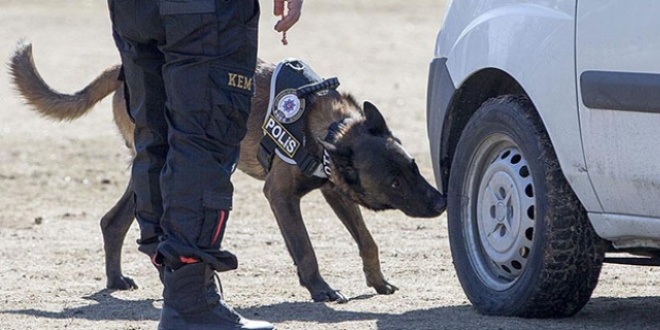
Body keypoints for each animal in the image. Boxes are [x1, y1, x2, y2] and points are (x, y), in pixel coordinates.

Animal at [9, 43, 444, 304]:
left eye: (413, 166)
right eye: (393, 183)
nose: (441, 202)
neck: (330, 127)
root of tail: (121, 69)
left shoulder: (334, 190)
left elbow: (367, 241)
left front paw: (378, 282)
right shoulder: (281, 196)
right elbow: (305, 249)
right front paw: (320, 289)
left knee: (112, 222)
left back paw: (116, 281)